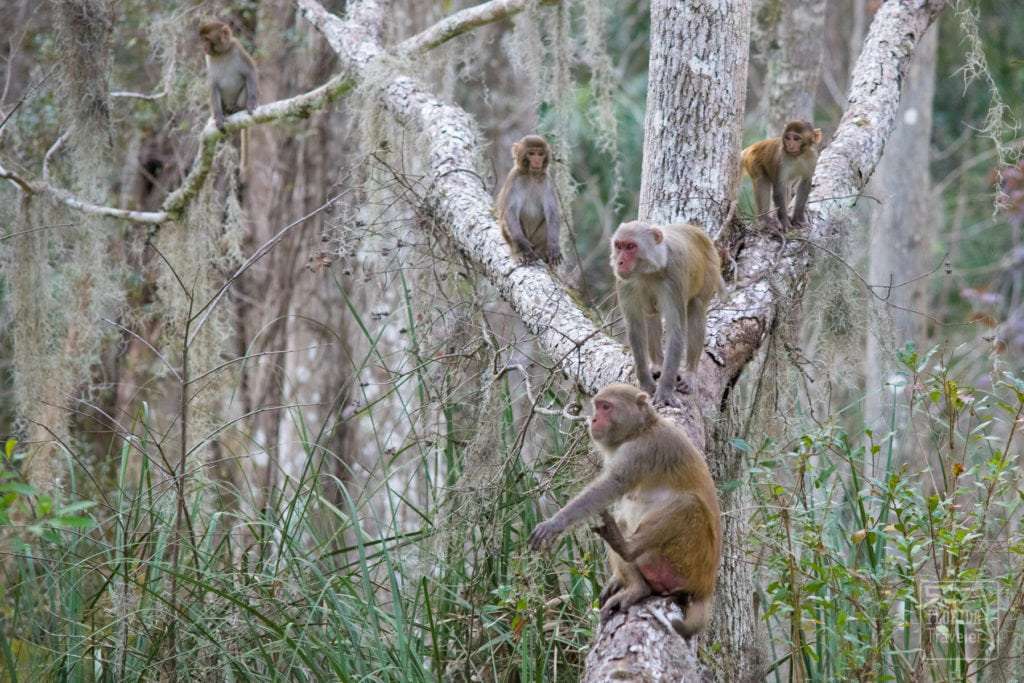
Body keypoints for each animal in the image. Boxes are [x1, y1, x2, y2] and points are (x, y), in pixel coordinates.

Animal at [493, 134, 561, 264]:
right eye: (531, 153)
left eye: (540, 154)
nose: (537, 161)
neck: (531, 175)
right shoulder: (514, 179)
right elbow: (510, 212)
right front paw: (523, 245)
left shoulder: (547, 181)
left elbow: (552, 212)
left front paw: (554, 246)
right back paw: (520, 252)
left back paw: (541, 252)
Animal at [532, 382, 724, 638]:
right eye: (597, 406)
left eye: (606, 407)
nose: (593, 419)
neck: (642, 429)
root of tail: (706, 587)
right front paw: (617, 579)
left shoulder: (639, 451)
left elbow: (611, 485)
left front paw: (555, 523)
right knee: (623, 522)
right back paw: (638, 587)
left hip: (686, 560)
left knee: (687, 505)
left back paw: (627, 548)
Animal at [610, 222, 724, 409]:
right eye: (618, 246)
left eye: (631, 246)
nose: (619, 262)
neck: (648, 271)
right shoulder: (625, 282)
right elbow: (635, 327)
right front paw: (646, 384)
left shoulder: (673, 276)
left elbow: (676, 329)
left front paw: (664, 391)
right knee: (651, 313)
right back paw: (657, 364)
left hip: (711, 268)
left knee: (697, 307)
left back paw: (690, 372)